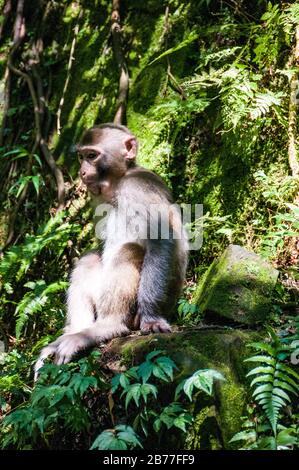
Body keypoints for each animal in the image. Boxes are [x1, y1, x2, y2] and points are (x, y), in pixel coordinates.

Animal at [34, 123, 190, 376]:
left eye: (92, 156)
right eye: (81, 157)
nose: (82, 172)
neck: (119, 182)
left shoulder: (140, 187)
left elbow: (160, 240)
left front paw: (151, 317)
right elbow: (98, 247)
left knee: (130, 250)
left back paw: (108, 326)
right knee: (89, 259)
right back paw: (77, 331)